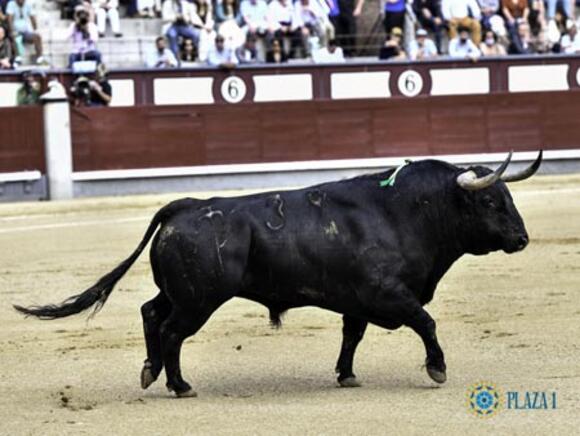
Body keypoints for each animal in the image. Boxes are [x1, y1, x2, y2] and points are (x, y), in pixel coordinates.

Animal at [13, 152, 540, 396]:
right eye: (492, 202)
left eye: (509, 199)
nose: (522, 239)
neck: (407, 212)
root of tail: (185, 205)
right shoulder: (389, 294)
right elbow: (426, 323)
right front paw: (437, 368)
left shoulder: (358, 301)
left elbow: (352, 337)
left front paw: (346, 375)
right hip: (199, 301)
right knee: (171, 331)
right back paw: (179, 385)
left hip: (181, 293)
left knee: (150, 313)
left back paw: (151, 371)